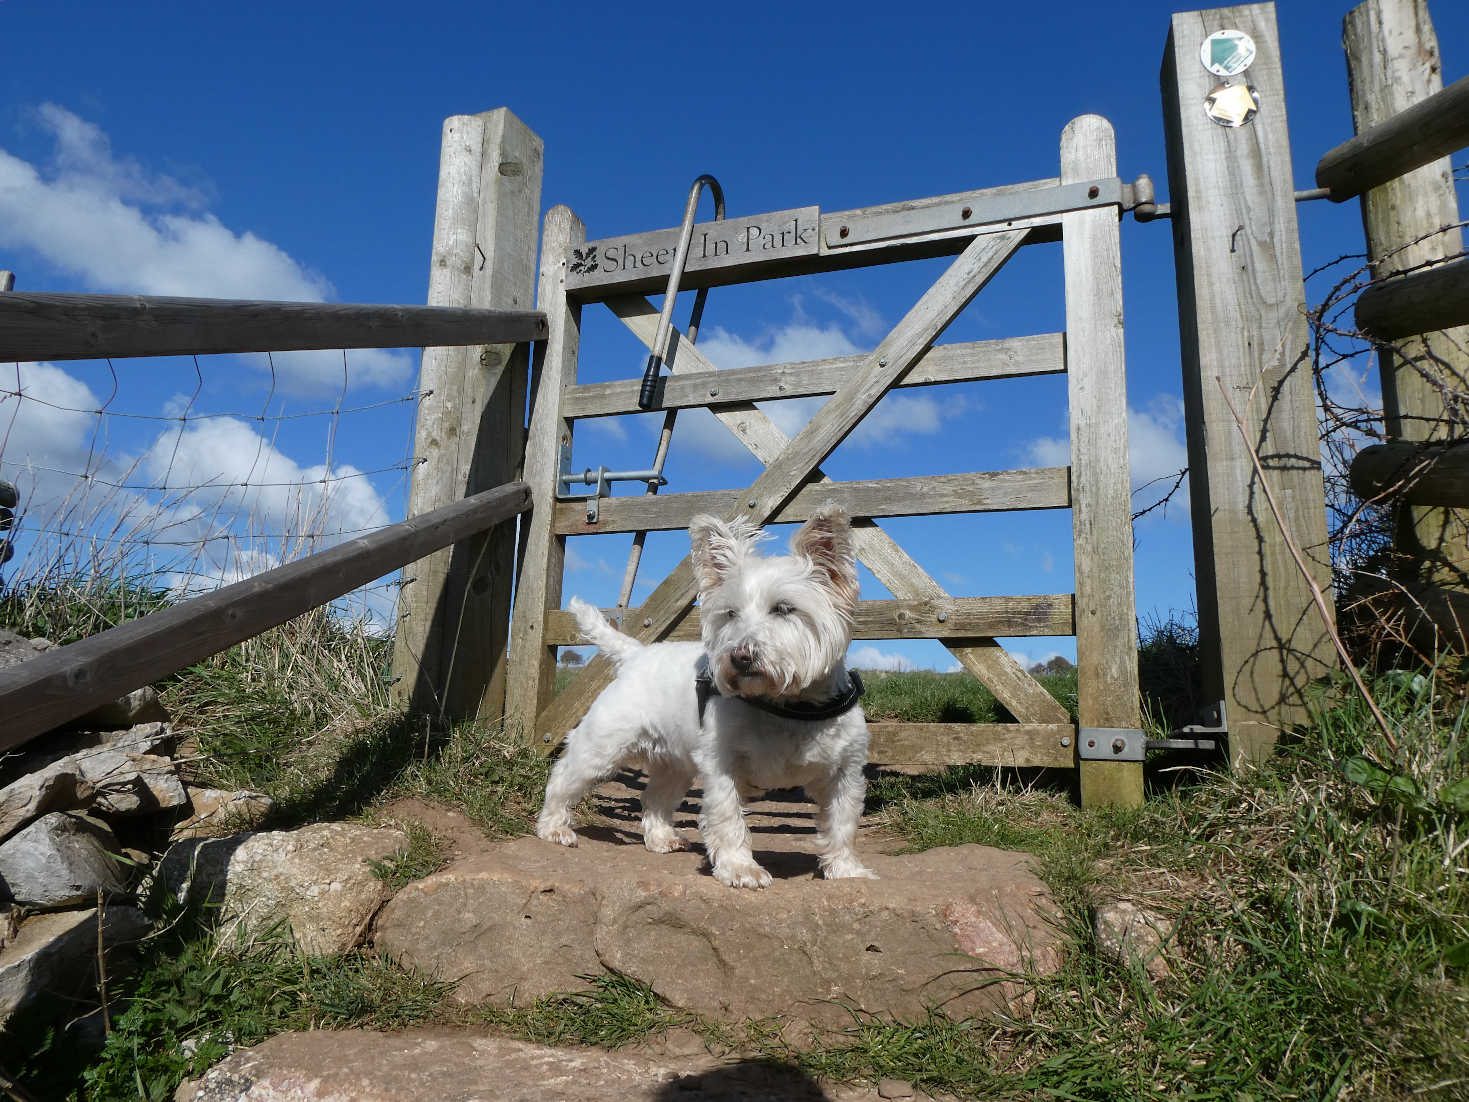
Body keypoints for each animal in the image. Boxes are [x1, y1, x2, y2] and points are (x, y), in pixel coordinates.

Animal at [543, 508, 875, 887]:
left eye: (783, 608)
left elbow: (842, 824)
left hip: (674, 763)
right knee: (563, 776)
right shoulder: (722, 765)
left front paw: (847, 870)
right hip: (602, 746)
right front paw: (741, 869)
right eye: (730, 613)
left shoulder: (845, 774)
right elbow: (729, 819)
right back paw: (554, 829)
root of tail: (636, 655)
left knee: (653, 798)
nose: (739, 657)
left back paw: (662, 838)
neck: (787, 707)